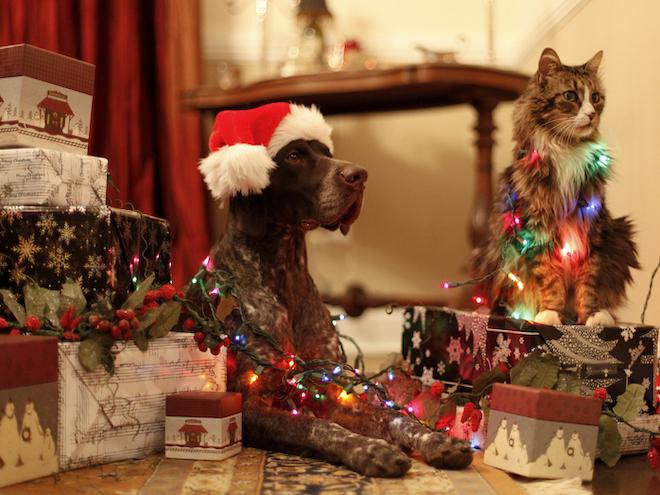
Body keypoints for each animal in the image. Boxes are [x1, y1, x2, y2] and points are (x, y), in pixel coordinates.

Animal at [197, 103, 474, 476]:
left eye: (326, 153)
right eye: (294, 156)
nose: (360, 175)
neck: (285, 273)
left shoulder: (327, 388)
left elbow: (392, 416)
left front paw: (435, 439)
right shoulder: (251, 402)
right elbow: (314, 425)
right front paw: (370, 449)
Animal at [474, 48, 640, 328]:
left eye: (595, 98)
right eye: (570, 96)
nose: (591, 114)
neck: (566, 147)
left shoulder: (592, 228)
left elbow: (589, 282)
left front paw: (593, 316)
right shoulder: (536, 229)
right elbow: (549, 279)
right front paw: (550, 314)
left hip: (620, 236)